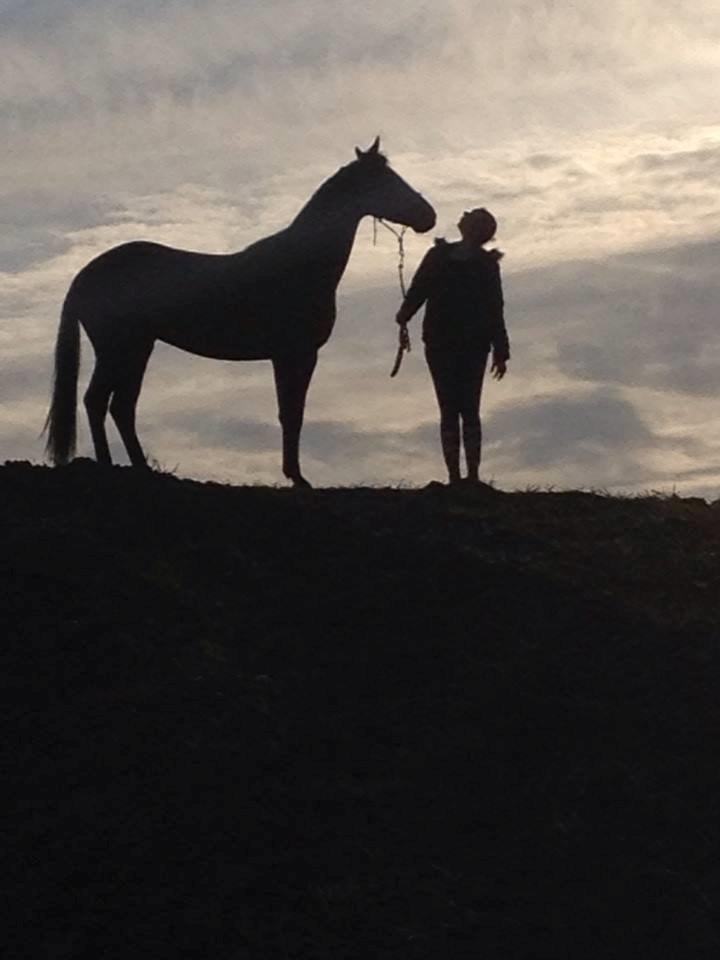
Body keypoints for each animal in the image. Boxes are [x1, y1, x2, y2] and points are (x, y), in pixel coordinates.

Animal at [46, 139, 438, 488]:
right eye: (385, 180)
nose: (429, 217)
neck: (301, 265)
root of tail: (85, 274)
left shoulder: (291, 356)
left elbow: (291, 413)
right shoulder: (295, 354)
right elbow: (292, 414)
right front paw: (297, 478)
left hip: (137, 349)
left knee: (120, 406)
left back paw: (140, 468)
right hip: (120, 349)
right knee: (99, 401)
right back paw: (109, 465)